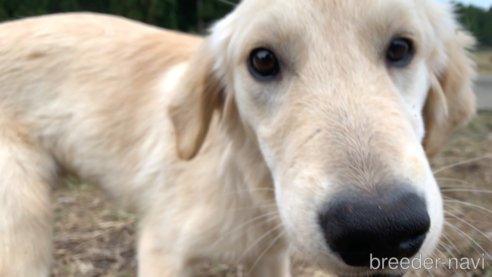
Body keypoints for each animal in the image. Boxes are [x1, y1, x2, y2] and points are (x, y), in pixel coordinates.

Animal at [0, 0, 476, 274]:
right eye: (262, 60)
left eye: (400, 48)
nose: (380, 230)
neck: (243, 183)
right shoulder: (161, 252)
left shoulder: (271, 258)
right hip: (24, 223)